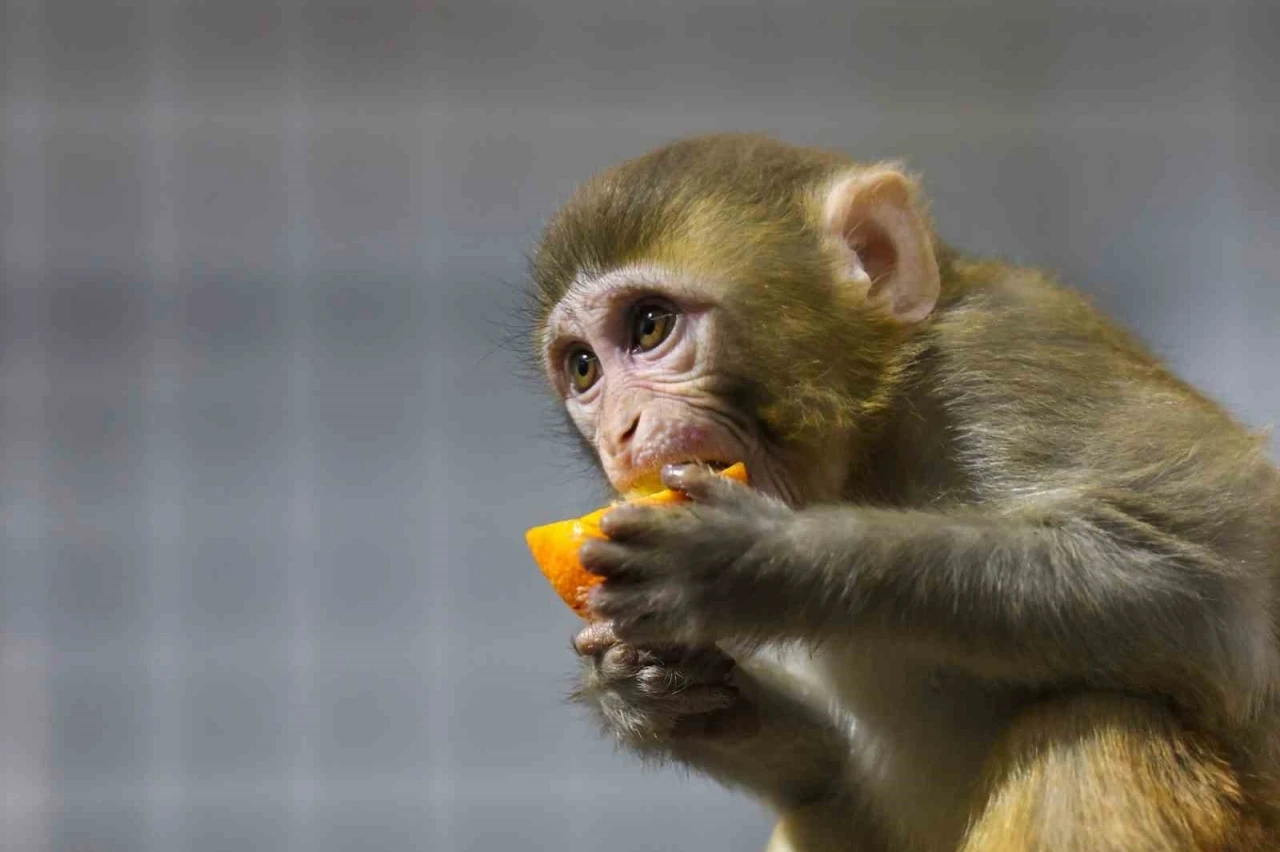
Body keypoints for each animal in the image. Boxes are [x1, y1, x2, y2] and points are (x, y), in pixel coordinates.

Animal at [522, 133, 1280, 849]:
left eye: (649, 325)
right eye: (584, 368)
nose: (619, 432)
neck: (873, 446)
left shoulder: (1010, 358)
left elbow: (1211, 588)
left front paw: (756, 561)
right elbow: (832, 781)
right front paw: (645, 685)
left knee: (1094, 727)